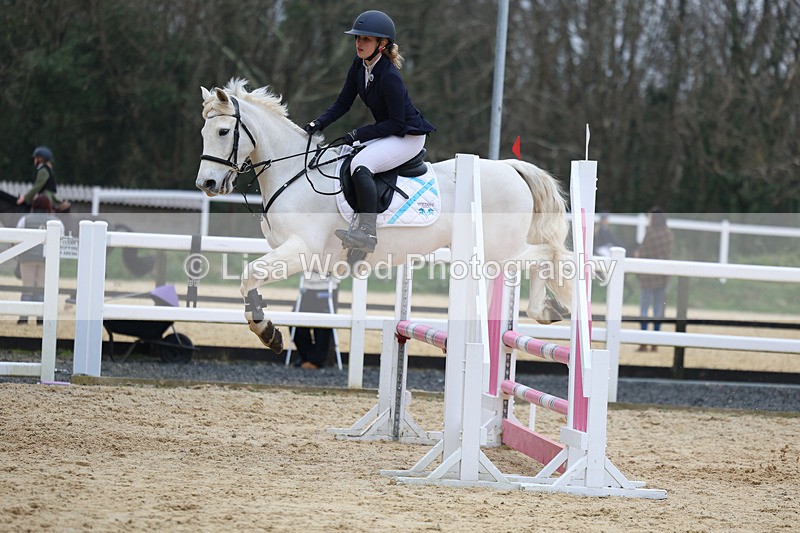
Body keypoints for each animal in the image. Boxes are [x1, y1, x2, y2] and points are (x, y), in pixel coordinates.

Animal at [196, 79, 572, 353]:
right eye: (204, 132)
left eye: (223, 132)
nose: (207, 183)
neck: (295, 173)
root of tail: (511, 167)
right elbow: (249, 281)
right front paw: (267, 329)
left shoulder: (301, 249)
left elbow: (248, 275)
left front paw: (266, 331)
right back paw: (549, 311)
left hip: (498, 252)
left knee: (547, 254)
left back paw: (546, 309)